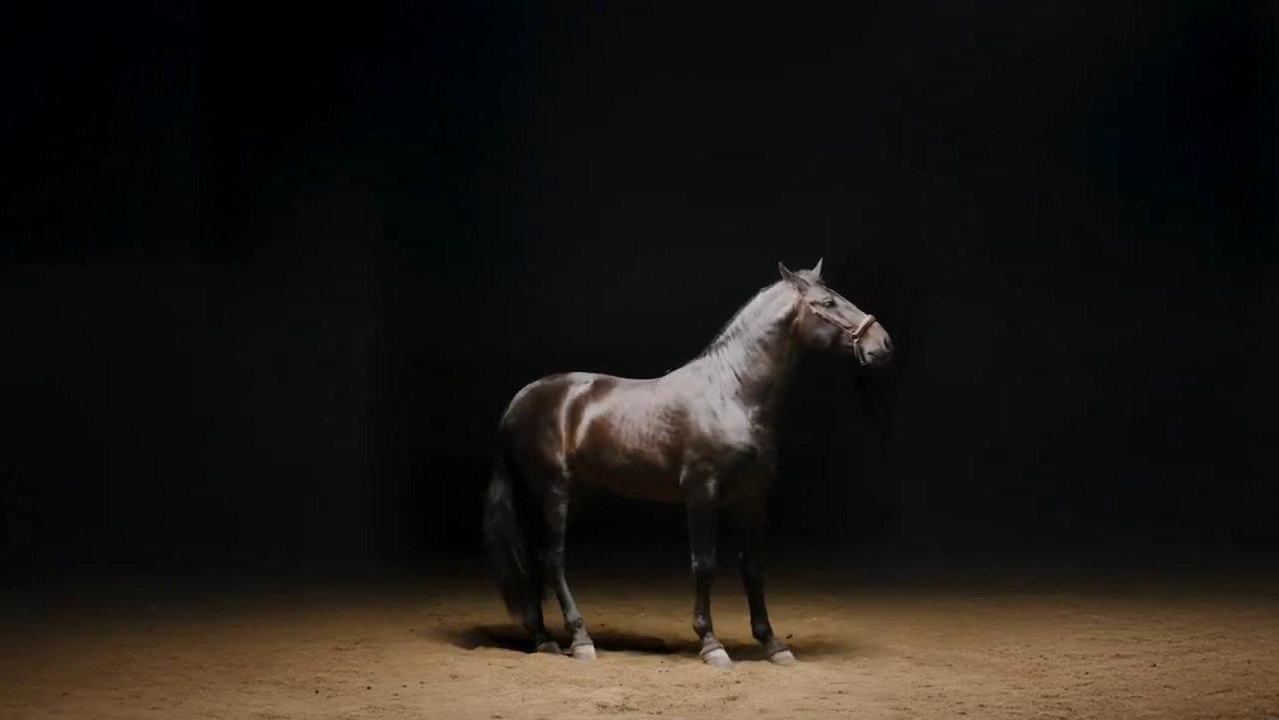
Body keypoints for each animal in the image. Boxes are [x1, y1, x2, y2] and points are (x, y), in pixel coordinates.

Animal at [482, 259, 893, 666]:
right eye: (827, 303)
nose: (883, 344)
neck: (732, 393)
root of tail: (521, 400)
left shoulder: (749, 497)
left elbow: (752, 566)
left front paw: (773, 643)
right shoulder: (702, 491)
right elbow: (704, 564)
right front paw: (711, 643)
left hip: (548, 497)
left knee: (531, 559)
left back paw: (543, 638)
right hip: (553, 493)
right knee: (552, 559)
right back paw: (580, 639)